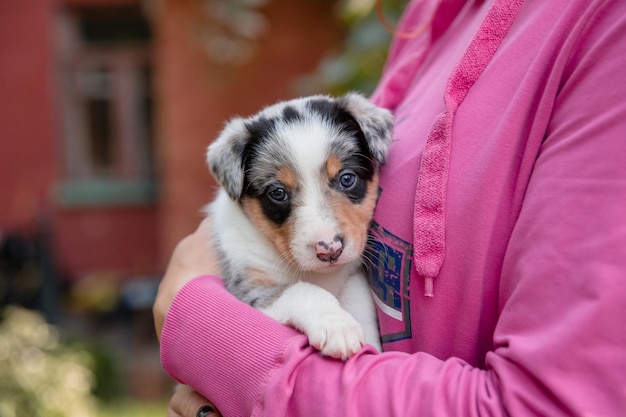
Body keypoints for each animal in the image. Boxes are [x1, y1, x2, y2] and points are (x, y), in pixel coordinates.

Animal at [206, 92, 390, 358]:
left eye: (347, 178)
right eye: (278, 193)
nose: (329, 250)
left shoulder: (353, 273)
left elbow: (358, 300)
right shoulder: (248, 288)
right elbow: (302, 290)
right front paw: (337, 326)